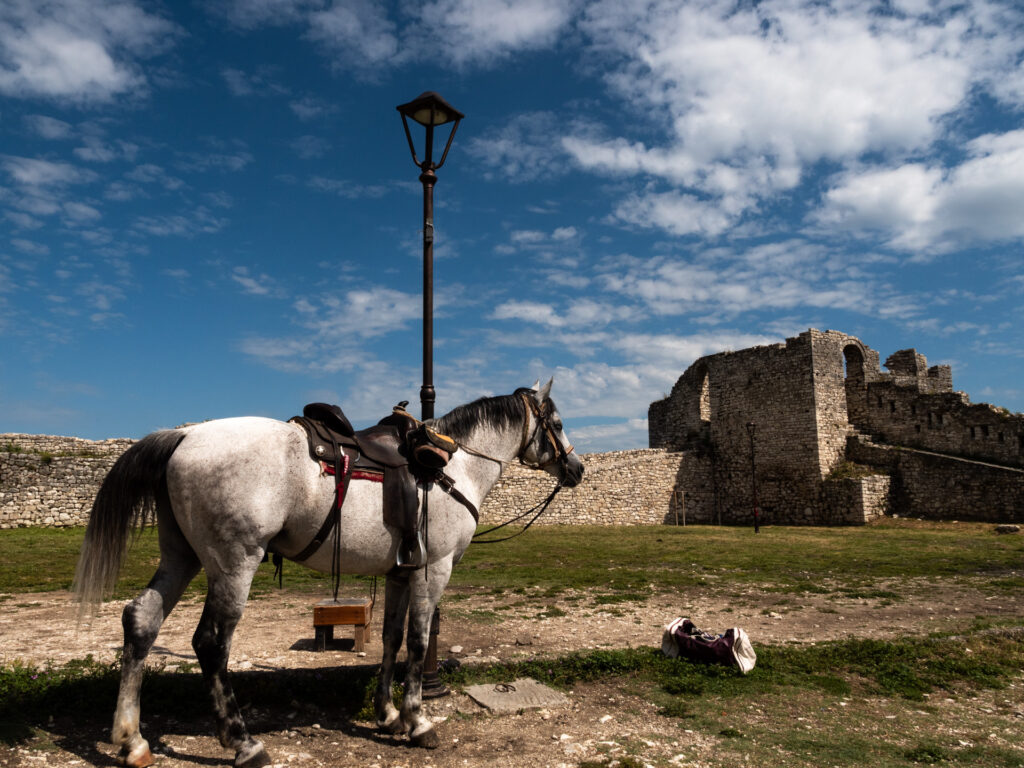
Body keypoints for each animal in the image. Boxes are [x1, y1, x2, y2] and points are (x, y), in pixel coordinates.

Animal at [73, 379, 584, 768]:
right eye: (557, 424)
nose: (577, 468)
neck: (454, 468)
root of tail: (182, 438)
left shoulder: (400, 573)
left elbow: (391, 639)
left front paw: (387, 715)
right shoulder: (431, 571)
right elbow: (419, 643)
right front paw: (418, 722)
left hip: (182, 557)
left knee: (141, 620)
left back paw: (132, 741)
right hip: (234, 563)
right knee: (211, 643)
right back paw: (243, 743)